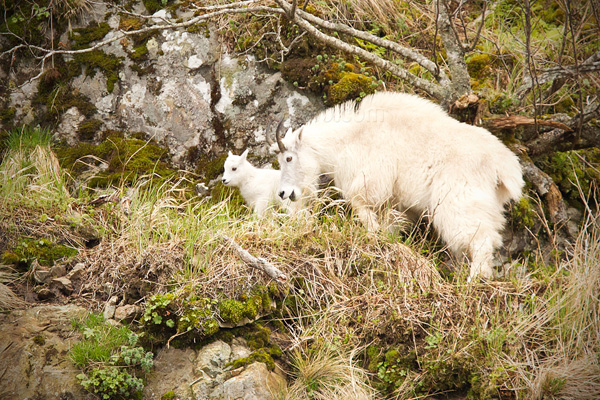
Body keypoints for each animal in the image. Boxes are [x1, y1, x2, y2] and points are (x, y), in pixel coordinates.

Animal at [270, 91, 524, 280]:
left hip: (459, 201)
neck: (347, 139)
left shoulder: (370, 182)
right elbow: (388, 224)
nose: (284, 193)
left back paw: (473, 281)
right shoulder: (393, 202)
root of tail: (503, 166)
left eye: (289, 158)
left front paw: (373, 239)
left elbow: (362, 210)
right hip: (488, 205)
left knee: (480, 239)